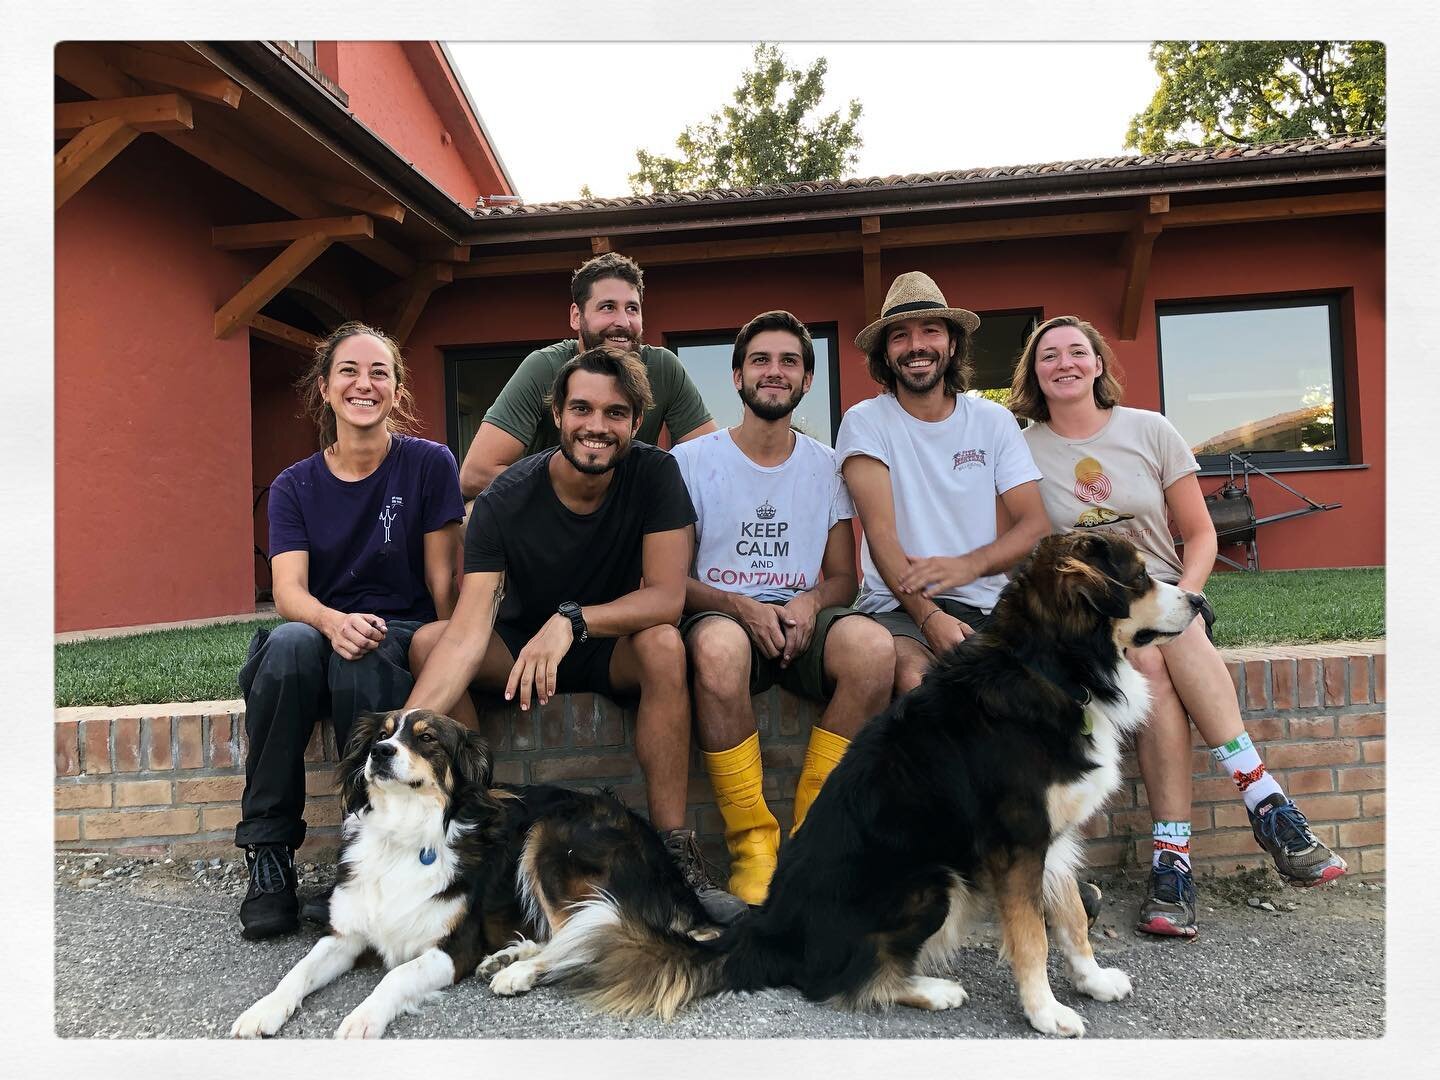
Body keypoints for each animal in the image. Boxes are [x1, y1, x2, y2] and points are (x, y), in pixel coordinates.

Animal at [228, 711, 714, 1042]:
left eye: (426, 738)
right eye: (383, 733)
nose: (379, 752)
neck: (404, 834)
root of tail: (677, 881)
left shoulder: (451, 949)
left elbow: (395, 977)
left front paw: (363, 1018)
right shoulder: (345, 935)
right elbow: (298, 971)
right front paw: (263, 1010)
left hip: (551, 837)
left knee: (587, 932)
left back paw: (517, 971)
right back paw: (507, 957)